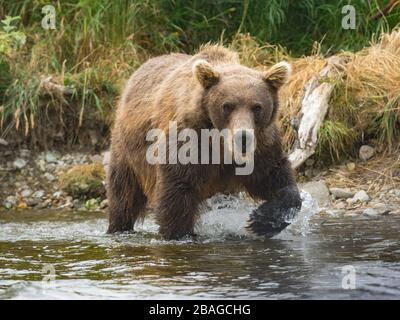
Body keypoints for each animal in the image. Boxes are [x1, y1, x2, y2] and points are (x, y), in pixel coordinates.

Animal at [106, 45, 300, 240]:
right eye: (227, 106)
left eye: (257, 107)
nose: (243, 138)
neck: (220, 144)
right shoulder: (189, 140)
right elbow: (178, 188)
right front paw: (179, 233)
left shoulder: (262, 145)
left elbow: (275, 176)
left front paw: (260, 222)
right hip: (129, 150)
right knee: (124, 193)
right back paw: (118, 226)